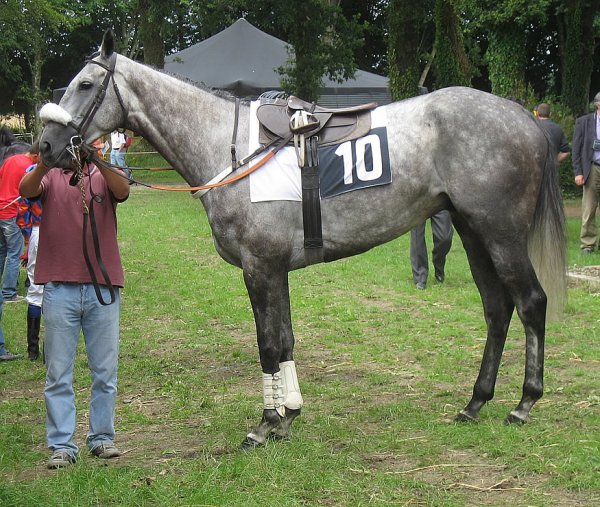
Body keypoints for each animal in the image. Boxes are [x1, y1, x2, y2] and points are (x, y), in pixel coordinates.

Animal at [38, 29, 568, 448]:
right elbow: (288, 340)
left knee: (531, 302)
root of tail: (525, 119)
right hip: (472, 232)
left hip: (500, 234)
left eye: (85, 84)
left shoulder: (259, 269)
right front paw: (288, 416)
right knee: (497, 310)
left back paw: (523, 403)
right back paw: (475, 403)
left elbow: (268, 345)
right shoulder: (277, 270)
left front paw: (264, 423)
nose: (45, 145)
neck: (229, 148)